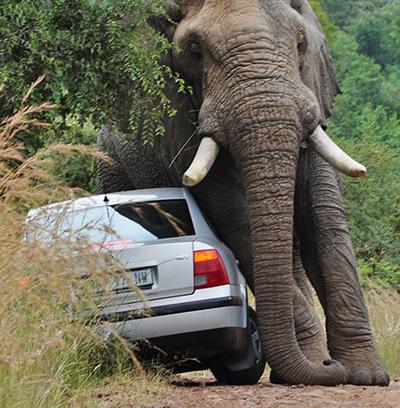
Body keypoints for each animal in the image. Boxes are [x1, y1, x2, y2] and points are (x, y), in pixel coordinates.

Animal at [97, 0, 390, 386]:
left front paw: (367, 375)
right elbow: (235, 216)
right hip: (111, 164)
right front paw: (323, 368)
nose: (331, 366)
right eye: (194, 52)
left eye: (300, 43)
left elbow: (323, 212)